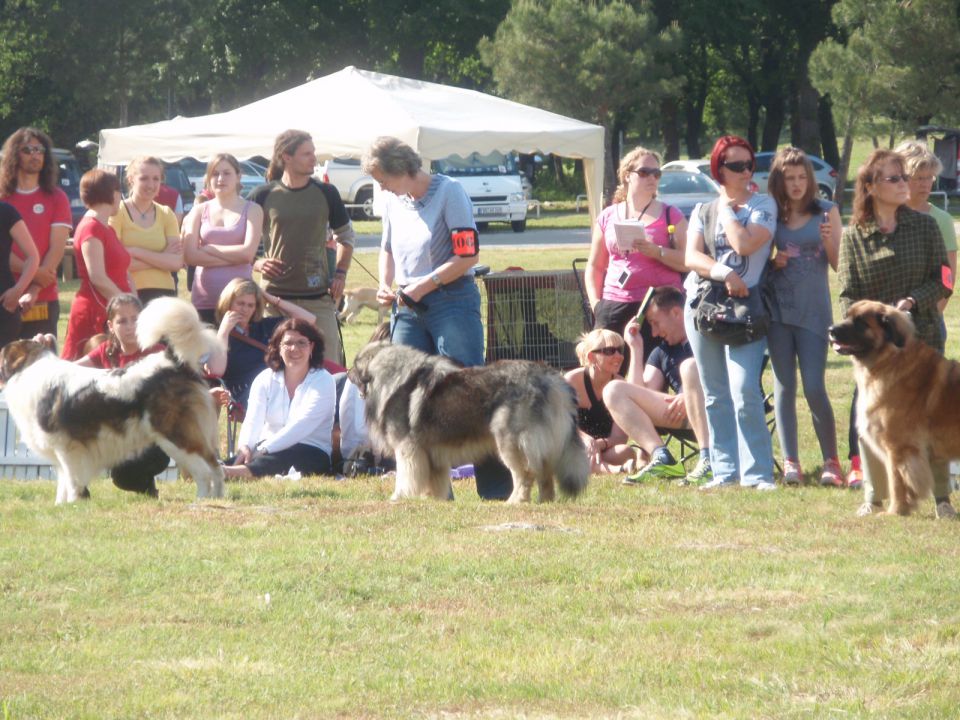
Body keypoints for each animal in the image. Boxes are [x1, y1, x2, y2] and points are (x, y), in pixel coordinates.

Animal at [824, 300, 960, 516]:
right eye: (847, 316)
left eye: (860, 322)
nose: (831, 330)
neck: (889, 360)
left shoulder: (898, 447)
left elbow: (896, 481)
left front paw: (894, 512)